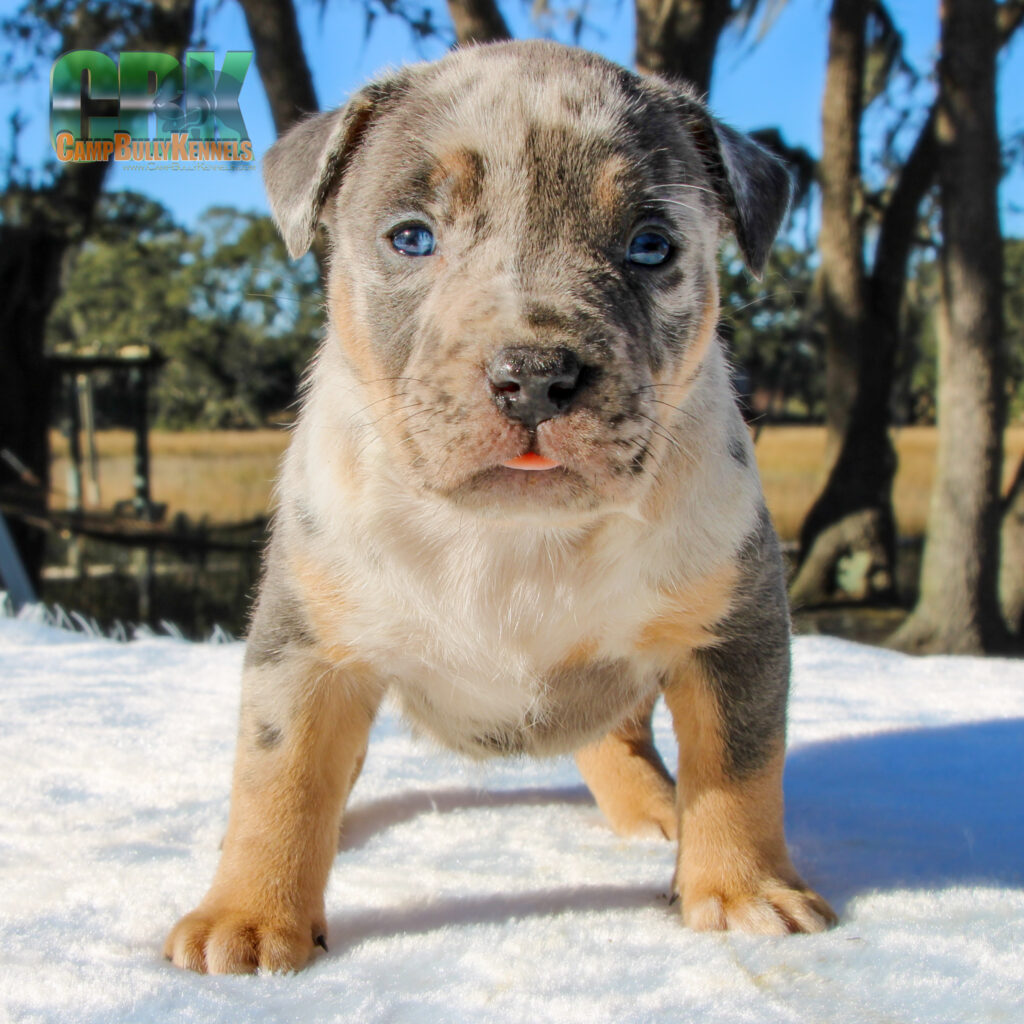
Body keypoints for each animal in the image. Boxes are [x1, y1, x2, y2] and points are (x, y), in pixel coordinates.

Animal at [167, 36, 835, 970]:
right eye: (411, 238)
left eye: (652, 245)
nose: (535, 375)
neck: (514, 530)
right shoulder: (305, 651)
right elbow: (280, 774)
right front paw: (249, 916)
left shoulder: (732, 635)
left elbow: (738, 767)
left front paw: (743, 890)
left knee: (619, 733)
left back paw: (653, 811)